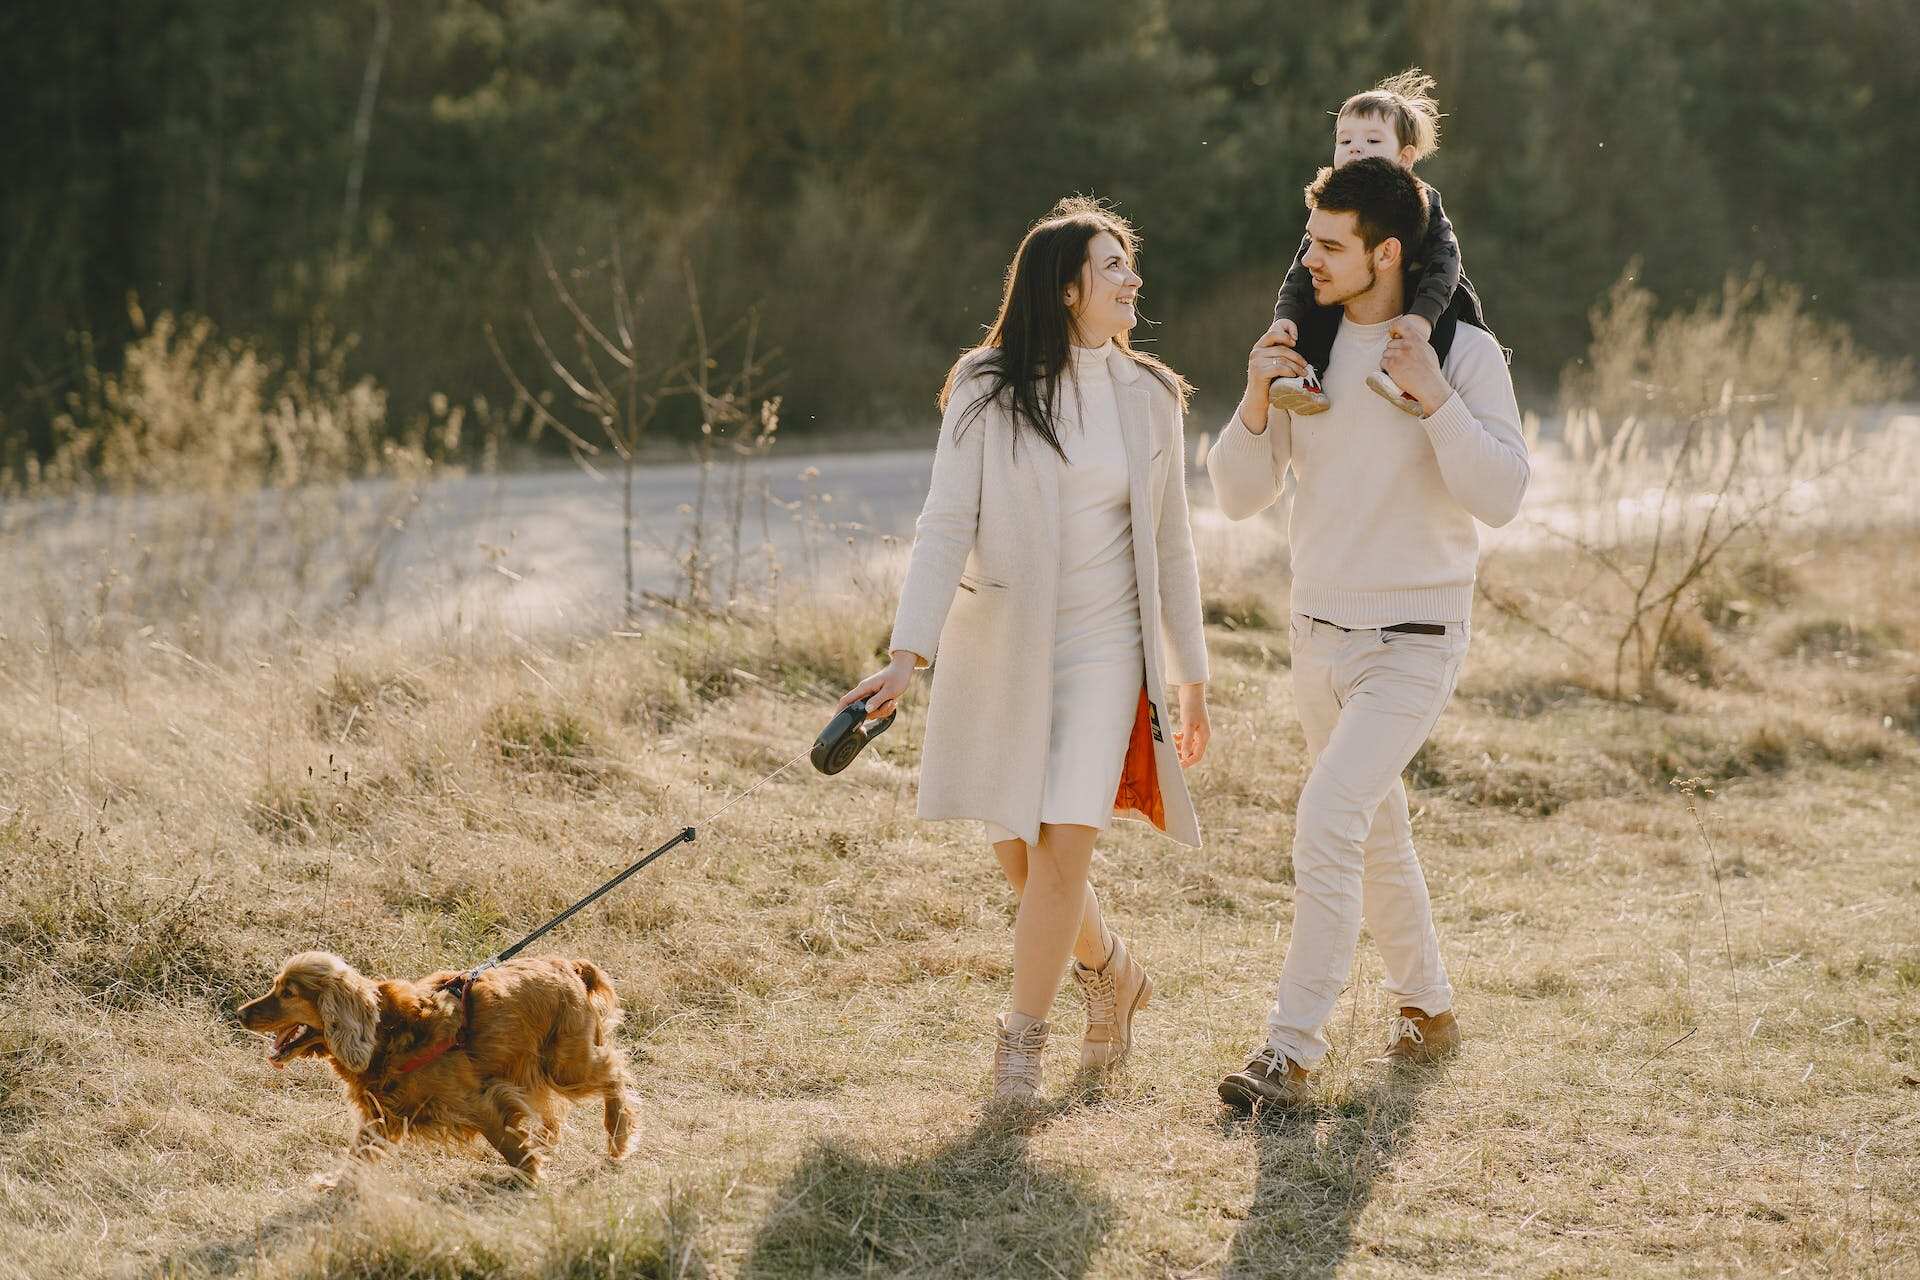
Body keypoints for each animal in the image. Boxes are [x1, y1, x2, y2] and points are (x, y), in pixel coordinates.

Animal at [237, 951, 633, 1182]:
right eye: (276, 986)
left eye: (288, 993)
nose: (240, 1014)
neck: (384, 1032)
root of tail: (568, 965)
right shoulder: (382, 1115)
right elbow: (357, 1157)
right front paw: (338, 1187)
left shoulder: (481, 1101)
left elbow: (509, 1145)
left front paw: (529, 1177)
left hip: (565, 1066)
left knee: (616, 1074)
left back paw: (618, 1137)